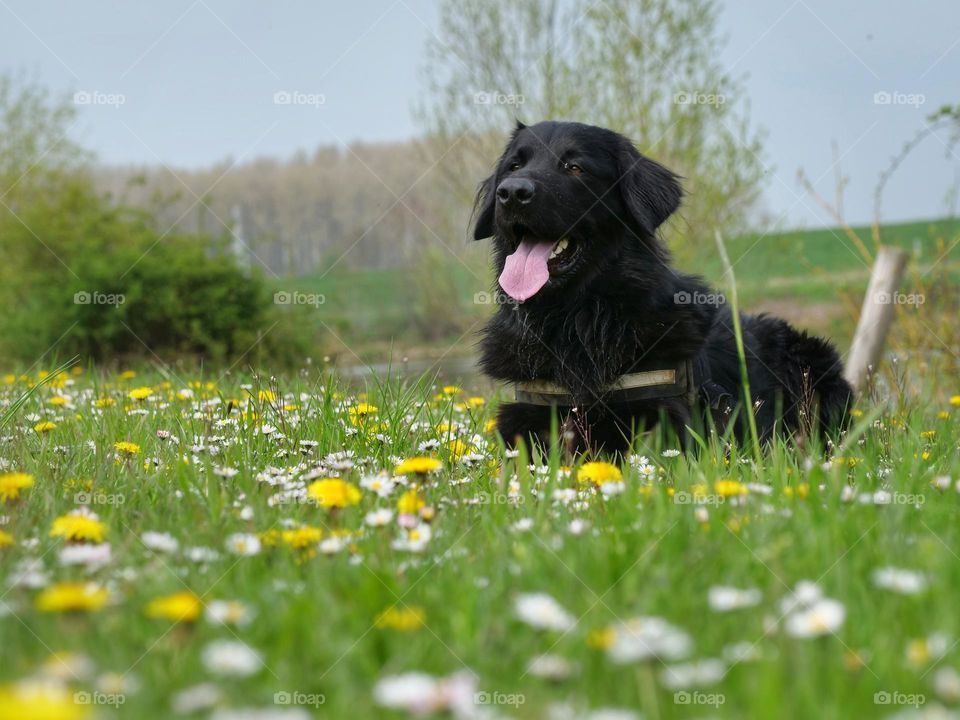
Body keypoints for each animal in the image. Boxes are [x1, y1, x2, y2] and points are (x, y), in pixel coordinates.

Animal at [472, 121, 856, 452]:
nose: (512, 192)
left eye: (575, 167)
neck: (576, 321)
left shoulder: (666, 421)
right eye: (513, 166)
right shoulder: (525, 422)